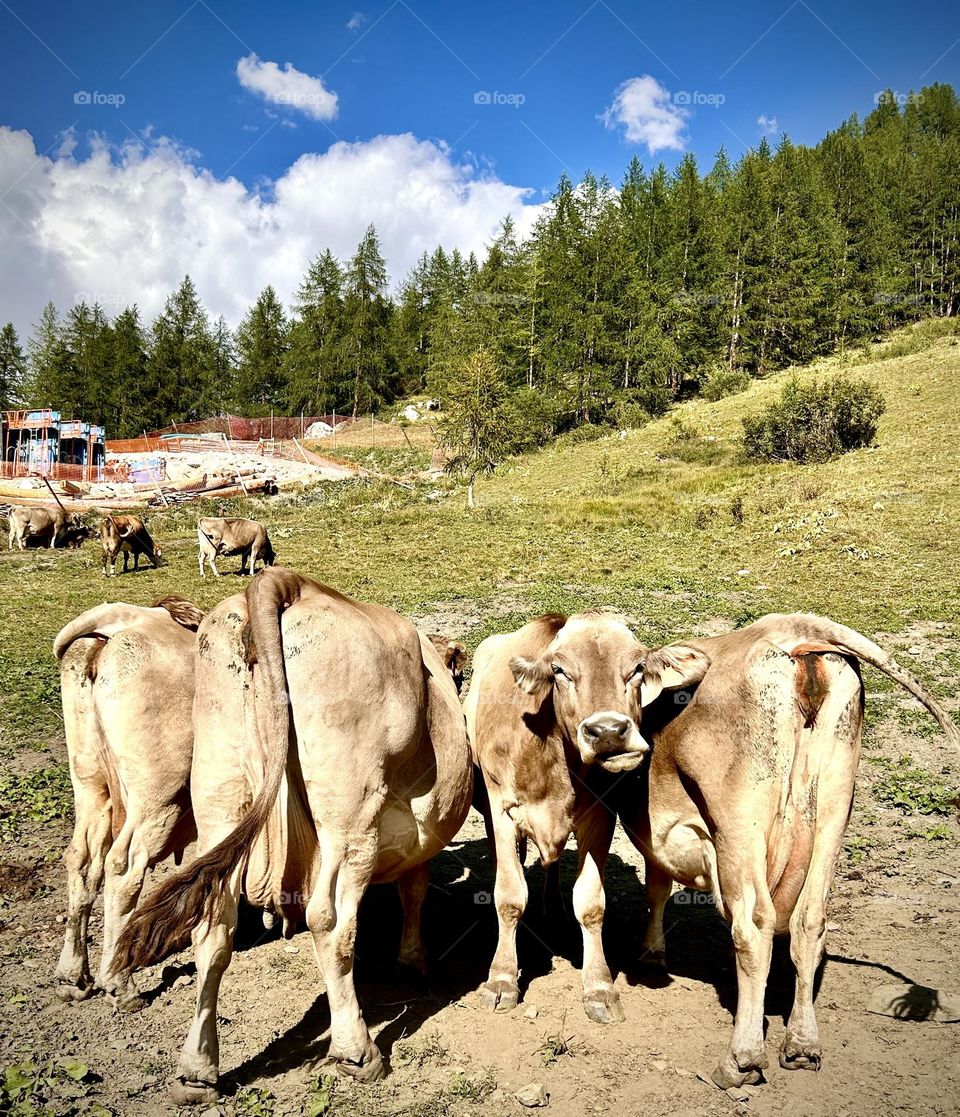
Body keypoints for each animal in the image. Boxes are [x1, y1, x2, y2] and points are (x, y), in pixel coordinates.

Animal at [52, 603, 202, 1014]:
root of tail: (131, 619)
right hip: (160, 795)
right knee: (123, 868)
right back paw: (120, 983)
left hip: (92, 784)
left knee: (83, 860)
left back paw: (73, 976)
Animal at [116, 567, 473, 1099]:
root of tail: (284, 581)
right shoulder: (415, 847)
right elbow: (415, 893)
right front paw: (414, 964)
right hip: (348, 816)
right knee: (330, 922)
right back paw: (356, 1052)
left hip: (220, 794)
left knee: (212, 928)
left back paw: (198, 1071)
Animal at [462, 616, 661, 1023]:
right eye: (560, 671)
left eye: (637, 668)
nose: (608, 732)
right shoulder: (502, 811)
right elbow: (509, 896)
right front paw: (502, 979)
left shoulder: (600, 816)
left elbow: (591, 903)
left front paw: (599, 987)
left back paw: (552, 907)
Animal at [616, 616, 960, 1085]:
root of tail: (787, 628)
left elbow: (657, 887)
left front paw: (651, 954)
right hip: (835, 801)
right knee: (810, 919)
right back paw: (801, 1043)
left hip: (740, 821)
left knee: (753, 924)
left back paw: (741, 1058)